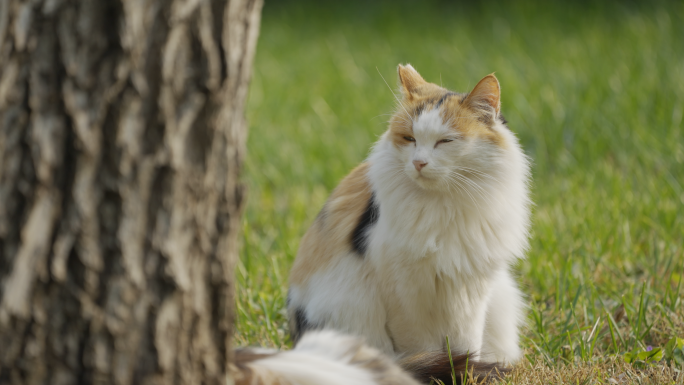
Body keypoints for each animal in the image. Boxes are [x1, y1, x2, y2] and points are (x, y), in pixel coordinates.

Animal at [286, 63, 532, 364]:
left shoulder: (470, 291)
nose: (419, 162)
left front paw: (466, 368)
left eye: (445, 141)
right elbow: (422, 348)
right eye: (410, 139)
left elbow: (466, 344)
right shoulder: (405, 294)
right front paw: (445, 367)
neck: (444, 208)